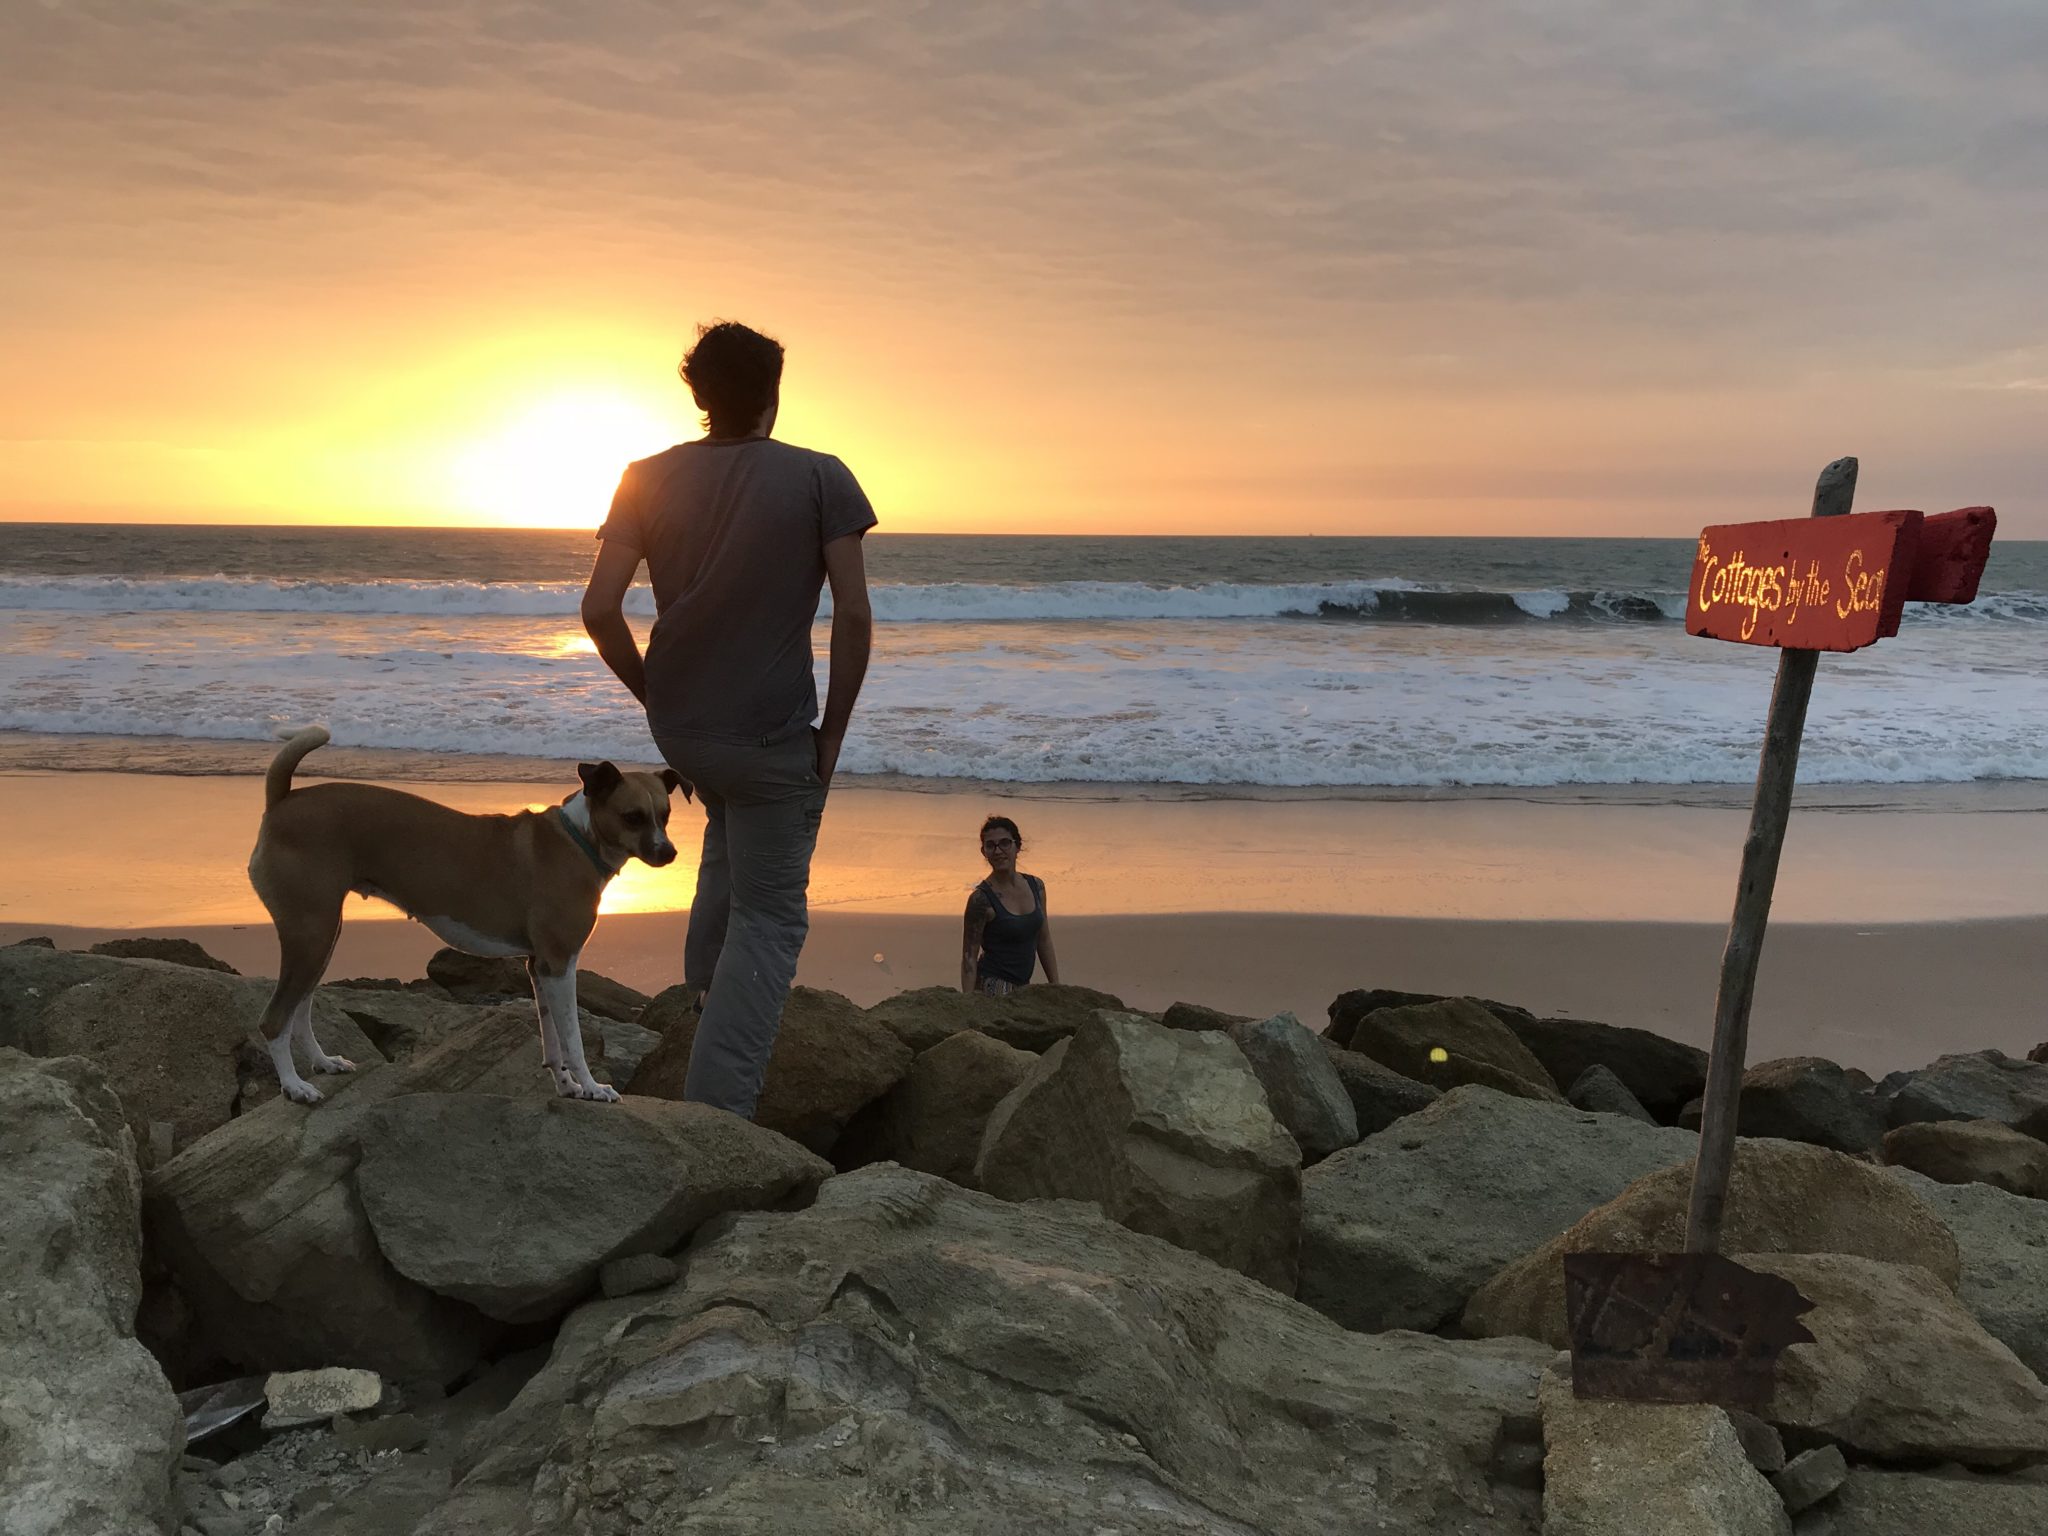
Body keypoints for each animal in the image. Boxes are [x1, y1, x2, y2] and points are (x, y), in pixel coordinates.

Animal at [247, 729, 688, 1105]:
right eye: (633, 816)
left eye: (665, 814)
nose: (669, 853)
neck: (577, 838)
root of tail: (282, 800)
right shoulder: (560, 965)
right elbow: (573, 1041)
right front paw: (594, 1087)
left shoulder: (540, 967)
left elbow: (552, 1041)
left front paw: (567, 1087)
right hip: (311, 935)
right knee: (274, 1019)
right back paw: (295, 1086)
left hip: (322, 937)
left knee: (300, 1008)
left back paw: (322, 1063)